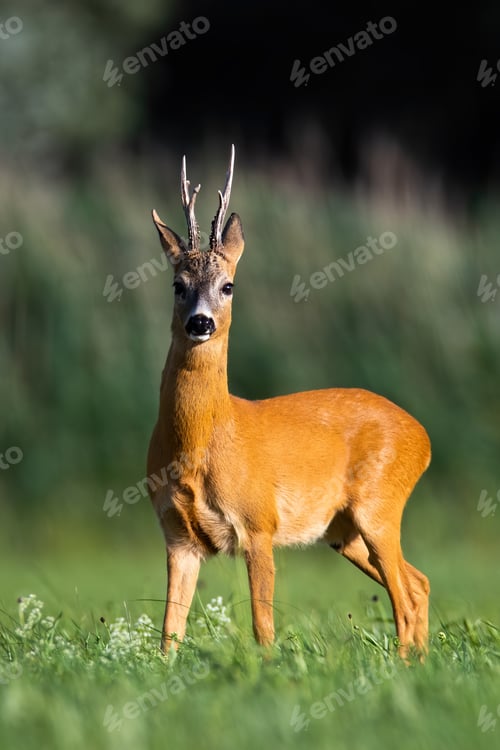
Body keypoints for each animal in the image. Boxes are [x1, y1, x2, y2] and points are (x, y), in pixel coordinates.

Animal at [147, 145, 431, 660]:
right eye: (177, 285)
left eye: (228, 285)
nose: (200, 323)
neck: (200, 443)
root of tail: (424, 438)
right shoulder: (177, 536)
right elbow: (169, 631)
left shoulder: (259, 522)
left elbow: (263, 624)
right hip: (342, 530)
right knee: (417, 583)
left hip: (379, 506)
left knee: (403, 595)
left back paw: (403, 665)